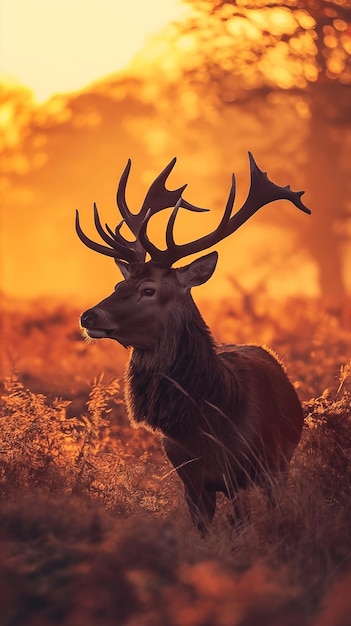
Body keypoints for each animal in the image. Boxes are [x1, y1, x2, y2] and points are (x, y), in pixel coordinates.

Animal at [75, 155, 310, 532]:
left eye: (149, 289)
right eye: (118, 284)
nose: (88, 316)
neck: (208, 424)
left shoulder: (245, 473)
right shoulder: (191, 481)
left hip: (279, 464)